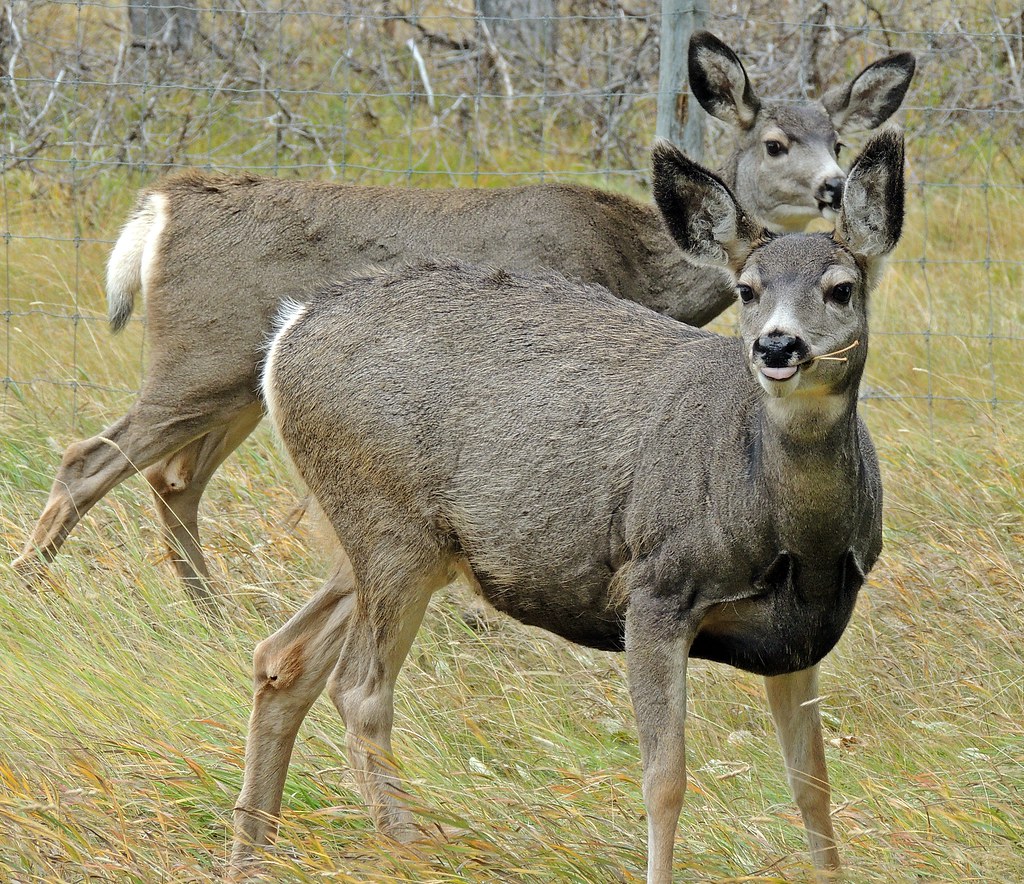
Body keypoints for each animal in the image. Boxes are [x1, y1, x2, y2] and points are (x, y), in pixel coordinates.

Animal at [12, 32, 914, 610]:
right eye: (775, 141)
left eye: (839, 138)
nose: (835, 187)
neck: (637, 266)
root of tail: (159, 209)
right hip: (198, 356)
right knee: (90, 458)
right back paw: (31, 587)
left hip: (237, 383)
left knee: (171, 481)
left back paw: (212, 610)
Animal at [229, 127, 905, 882]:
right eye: (747, 290)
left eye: (841, 288)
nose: (778, 345)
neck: (794, 533)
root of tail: (287, 334)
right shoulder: (656, 589)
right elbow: (665, 779)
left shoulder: (800, 634)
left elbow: (812, 786)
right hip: (388, 527)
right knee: (359, 690)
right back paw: (416, 847)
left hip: (385, 539)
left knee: (281, 659)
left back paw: (250, 853)